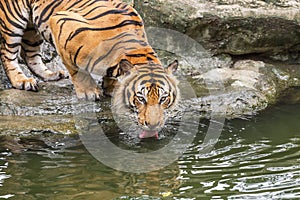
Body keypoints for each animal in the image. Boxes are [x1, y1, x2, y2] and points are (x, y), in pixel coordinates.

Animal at [0, 0, 179, 138]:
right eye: (141, 99)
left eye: (163, 99)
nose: (153, 125)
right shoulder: (60, 22)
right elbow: (77, 70)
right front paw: (89, 92)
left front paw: (111, 87)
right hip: (13, 21)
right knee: (7, 53)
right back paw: (22, 81)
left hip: (33, 28)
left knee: (29, 53)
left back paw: (51, 75)